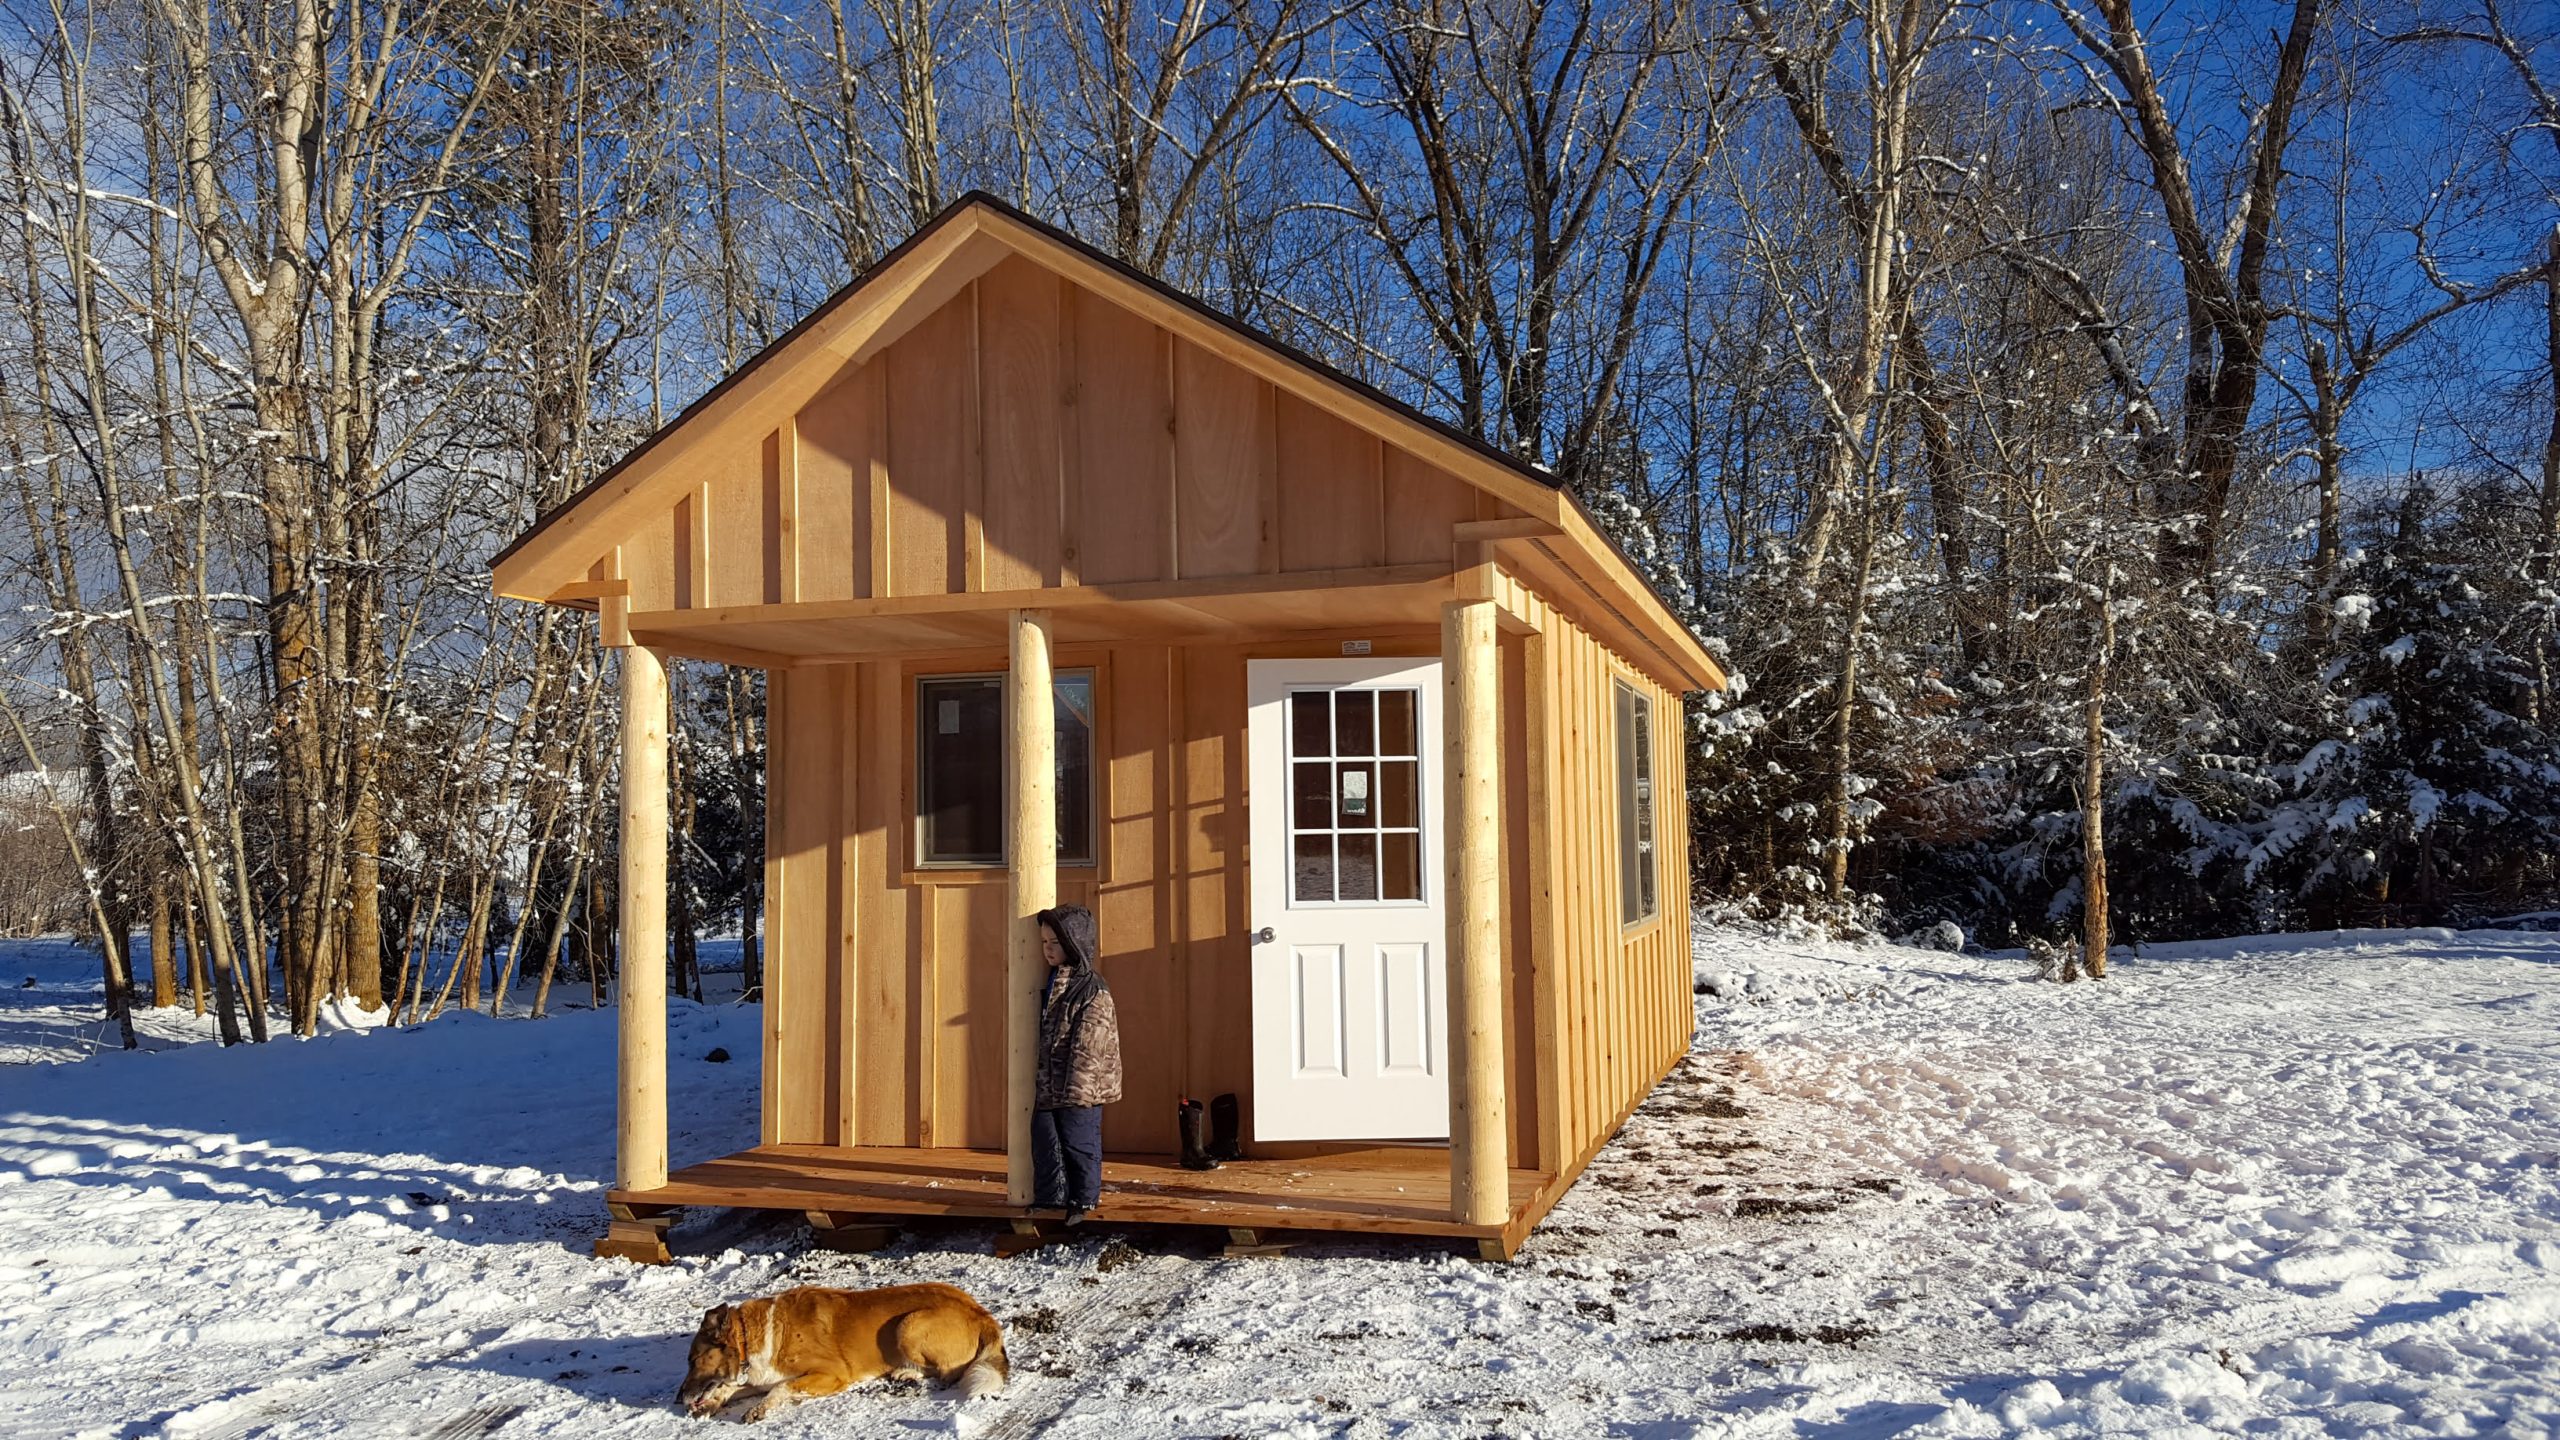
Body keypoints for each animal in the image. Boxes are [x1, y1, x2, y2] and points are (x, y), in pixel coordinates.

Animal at [675, 1276, 1003, 1414]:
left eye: (693, 1360)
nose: (678, 1400)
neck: (748, 1335)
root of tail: (981, 1313)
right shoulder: (762, 1376)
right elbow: (734, 1387)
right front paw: (714, 1401)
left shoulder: (831, 1374)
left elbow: (781, 1388)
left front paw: (760, 1408)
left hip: (908, 1325)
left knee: (950, 1372)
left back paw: (908, 1371)